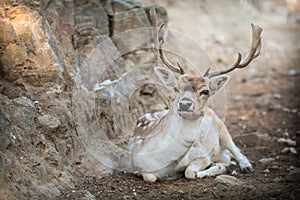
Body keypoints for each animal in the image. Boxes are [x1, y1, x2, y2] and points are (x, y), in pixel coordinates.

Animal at [129, 10, 262, 183]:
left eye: (205, 91)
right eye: (175, 88)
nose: (185, 104)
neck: (161, 160)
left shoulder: (200, 154)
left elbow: (190, 172)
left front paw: (215, 168)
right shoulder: (135, 166)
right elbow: (150, 177)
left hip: (222, 127)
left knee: (235, 149)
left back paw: (245, 166)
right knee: (227, 156)